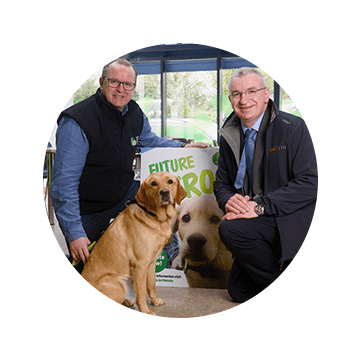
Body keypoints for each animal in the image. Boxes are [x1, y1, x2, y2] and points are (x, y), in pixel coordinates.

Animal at [81, 171, 187, 316]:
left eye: (170, 181)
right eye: (154, 183)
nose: (164, 192)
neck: (155, 218)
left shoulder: (152, 262)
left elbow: (151, 283)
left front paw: (154, 301)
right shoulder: (140, 264)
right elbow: (141, 292)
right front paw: (145, 311)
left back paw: (127, 302)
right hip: (119, 284)